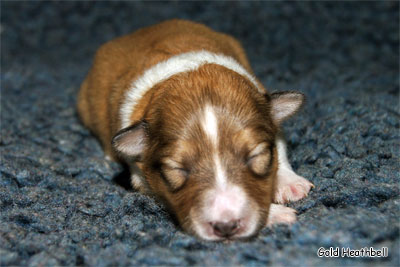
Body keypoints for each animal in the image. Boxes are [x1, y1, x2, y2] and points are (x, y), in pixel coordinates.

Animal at [76, 18, 314, 241]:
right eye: (177, 169)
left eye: (256, 155)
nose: (226, 226)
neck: (191, 74)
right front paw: (276, 214)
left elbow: (280, 146)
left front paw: (290, 184)